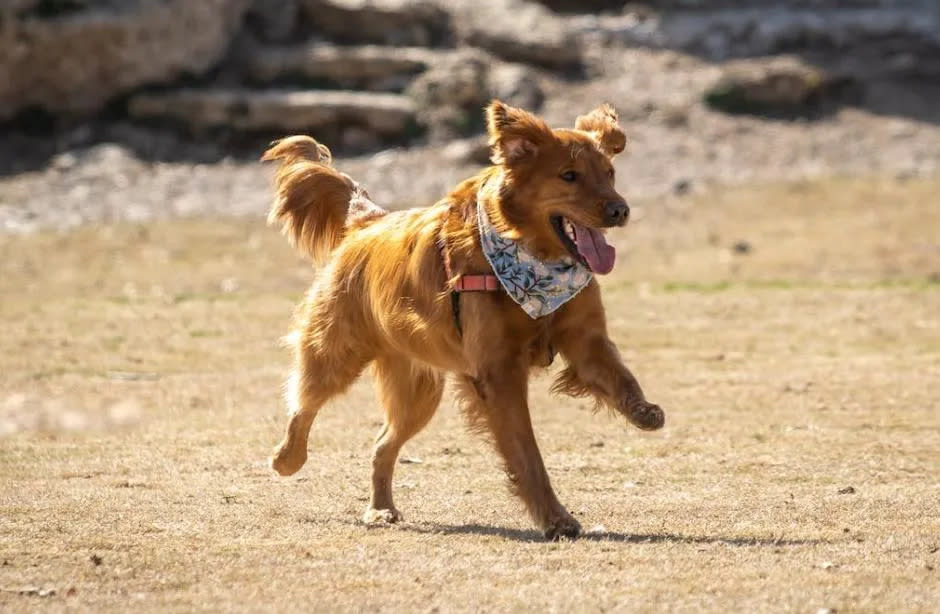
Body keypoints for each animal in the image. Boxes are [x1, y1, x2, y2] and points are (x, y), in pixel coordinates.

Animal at [260, 100, 664, 540]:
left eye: (609, 173)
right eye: (569, 176)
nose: (620, 210)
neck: (531, 256)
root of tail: (367, 223)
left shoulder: (585, 338)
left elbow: (620, 376)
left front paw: (643, 411)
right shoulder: (498, 372)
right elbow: (527, 454)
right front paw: (554, 518)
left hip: (418, 391)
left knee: (382, 445)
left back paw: (381, 509)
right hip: (337, 354)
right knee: (304, 403)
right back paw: (286, 458)